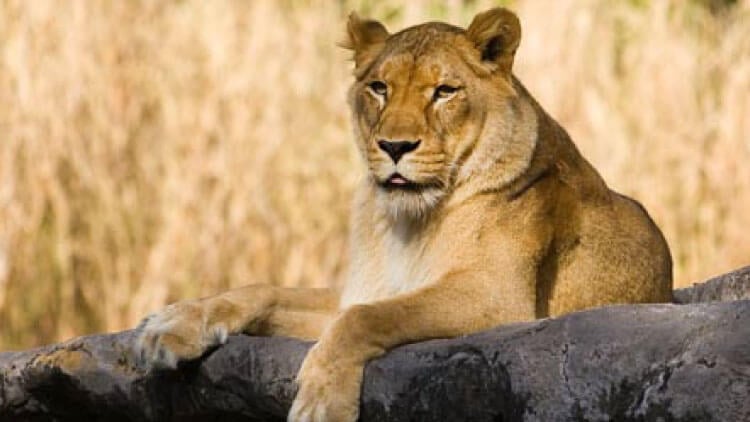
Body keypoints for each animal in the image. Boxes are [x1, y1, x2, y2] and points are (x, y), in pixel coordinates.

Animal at [134, 8, 673, 422]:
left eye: (444, 91)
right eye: (379, 87)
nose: (394, 146)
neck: (406, 221)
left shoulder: (498, 298)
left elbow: (367, 318)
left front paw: (321, 400)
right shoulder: (361, 289)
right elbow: (266, 291)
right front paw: (172, 324)